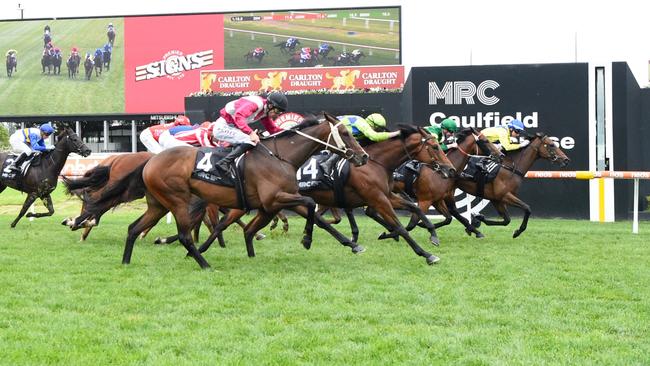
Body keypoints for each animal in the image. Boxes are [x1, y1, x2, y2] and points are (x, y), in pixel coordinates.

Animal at [91, 114, 368, 268]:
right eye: (345, 133)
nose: (363, 156)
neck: (281, 157)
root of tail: (150, 160)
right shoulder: (275, 199)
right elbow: (311, 203)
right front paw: (307, 240)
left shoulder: (279, 200)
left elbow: (319, 217)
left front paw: (352, 245)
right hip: (179, 200)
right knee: (184, 235)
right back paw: (204, 264)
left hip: (159, 204)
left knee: (133, 228)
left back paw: (126, 262)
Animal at [197, 124, 456, 264]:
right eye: (434, 146)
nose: (450, 169)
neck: (376, 163)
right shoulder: (377, 198)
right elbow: (400, 225)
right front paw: (426, 254)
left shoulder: (385, 196)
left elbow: (413, 208)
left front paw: (431, 234)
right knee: (222, 222)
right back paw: (201, 249)